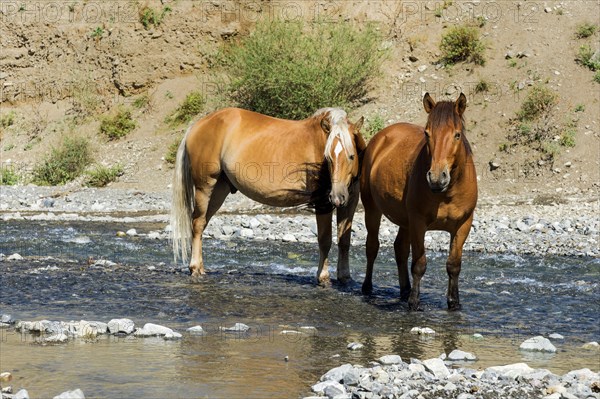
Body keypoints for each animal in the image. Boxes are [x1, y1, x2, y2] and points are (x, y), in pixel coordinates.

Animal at [169, 108, 366, 286]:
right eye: (329, 157)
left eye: (351, 156)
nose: (337, 196)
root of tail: (197, 125)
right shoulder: (322, 202)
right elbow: (324, 240)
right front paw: (323, 277)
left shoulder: (350, 203)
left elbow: (344, 240)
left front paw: (345, 277)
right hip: (204, 188)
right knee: (197, 223)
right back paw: (195, 268)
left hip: (219, 190)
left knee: (202, 224)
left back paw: (200, 267)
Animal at [360, 94, 478, 312]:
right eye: (427, 134)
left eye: (457, 135)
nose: (437, 178)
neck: (446, 193)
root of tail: (381, 137)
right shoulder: (418, 223)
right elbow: (419, 264)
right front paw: (414, 303)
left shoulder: (463, 225)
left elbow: (453, 265)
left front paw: (454, 302)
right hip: (372, 209)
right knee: (372, 247)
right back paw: (368, 288)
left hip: (405, 222)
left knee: (400, 249)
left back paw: (404, 289)